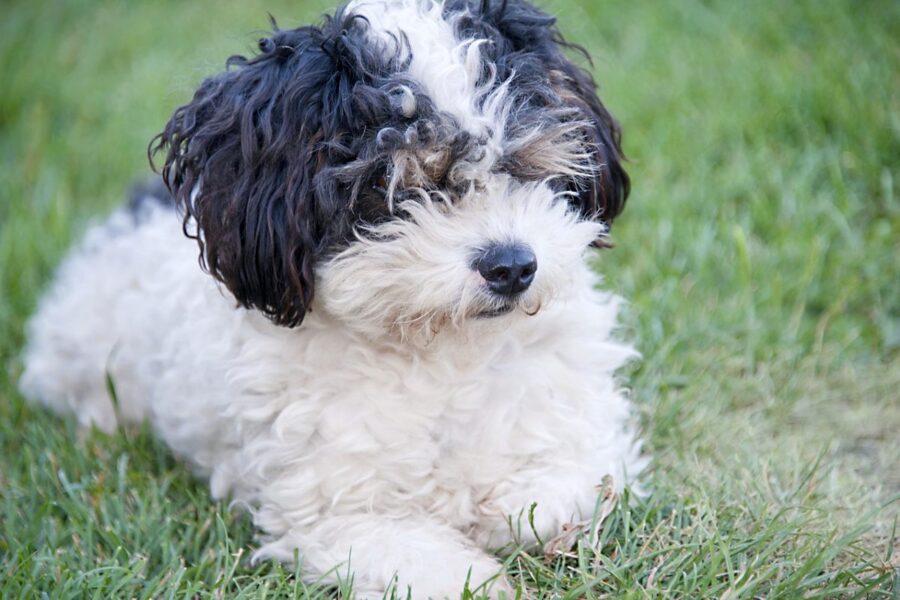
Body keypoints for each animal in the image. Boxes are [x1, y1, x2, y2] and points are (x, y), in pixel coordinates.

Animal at [19, 0, 648, 596]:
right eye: (393, 186)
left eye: (523, 164)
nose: (513, 266)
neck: (444, 351)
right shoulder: (327, 514)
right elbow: (422, 561)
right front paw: (476, 568)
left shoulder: (586, 428)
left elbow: (572, 487)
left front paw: (500, 509)